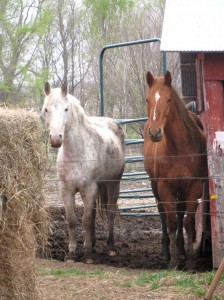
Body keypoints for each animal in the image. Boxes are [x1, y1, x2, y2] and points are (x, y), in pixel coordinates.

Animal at [41, 82, 126, 262]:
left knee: (110, 212)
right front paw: (72, 254)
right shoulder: (66, 190)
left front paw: (86, 255)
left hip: (113, 184)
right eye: (46, 109)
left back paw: (110, 247)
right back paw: (92, 243)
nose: (55, 139)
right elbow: (72, 220)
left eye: (66, 109)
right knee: (93, 214)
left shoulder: (89, 188)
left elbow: (85, 220)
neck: (75, 154)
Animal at [143, 70, 207, 270]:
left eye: (169, 99)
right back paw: (167, 252)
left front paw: (191, 261)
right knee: (163, 214)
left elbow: (188, 222)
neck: (179, 148)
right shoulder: (164, 186)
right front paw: (172, 261)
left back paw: (181, 251)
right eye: (147, 99)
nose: (155, 133)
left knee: (180, 213)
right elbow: (170, 221)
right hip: (155, 185)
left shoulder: (194, 186)